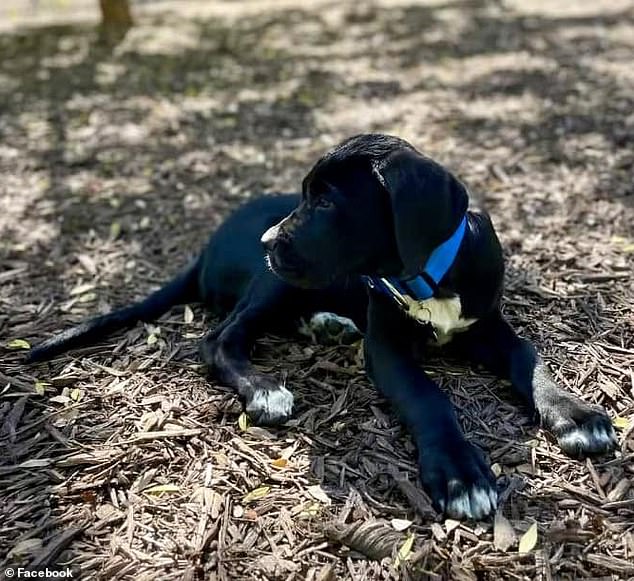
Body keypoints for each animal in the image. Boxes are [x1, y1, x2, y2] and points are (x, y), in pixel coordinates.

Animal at [27, 134, 616, 520]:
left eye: (328, 200)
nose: (268, 241)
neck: (430, 275)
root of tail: (204, 248)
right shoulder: (387, 350)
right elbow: (428, 397)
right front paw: (459, 473)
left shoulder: (489, 324)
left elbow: (528, 360)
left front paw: (575, 414)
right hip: (274, 283)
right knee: (219, 340)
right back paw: (263, 388)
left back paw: (327, 325)